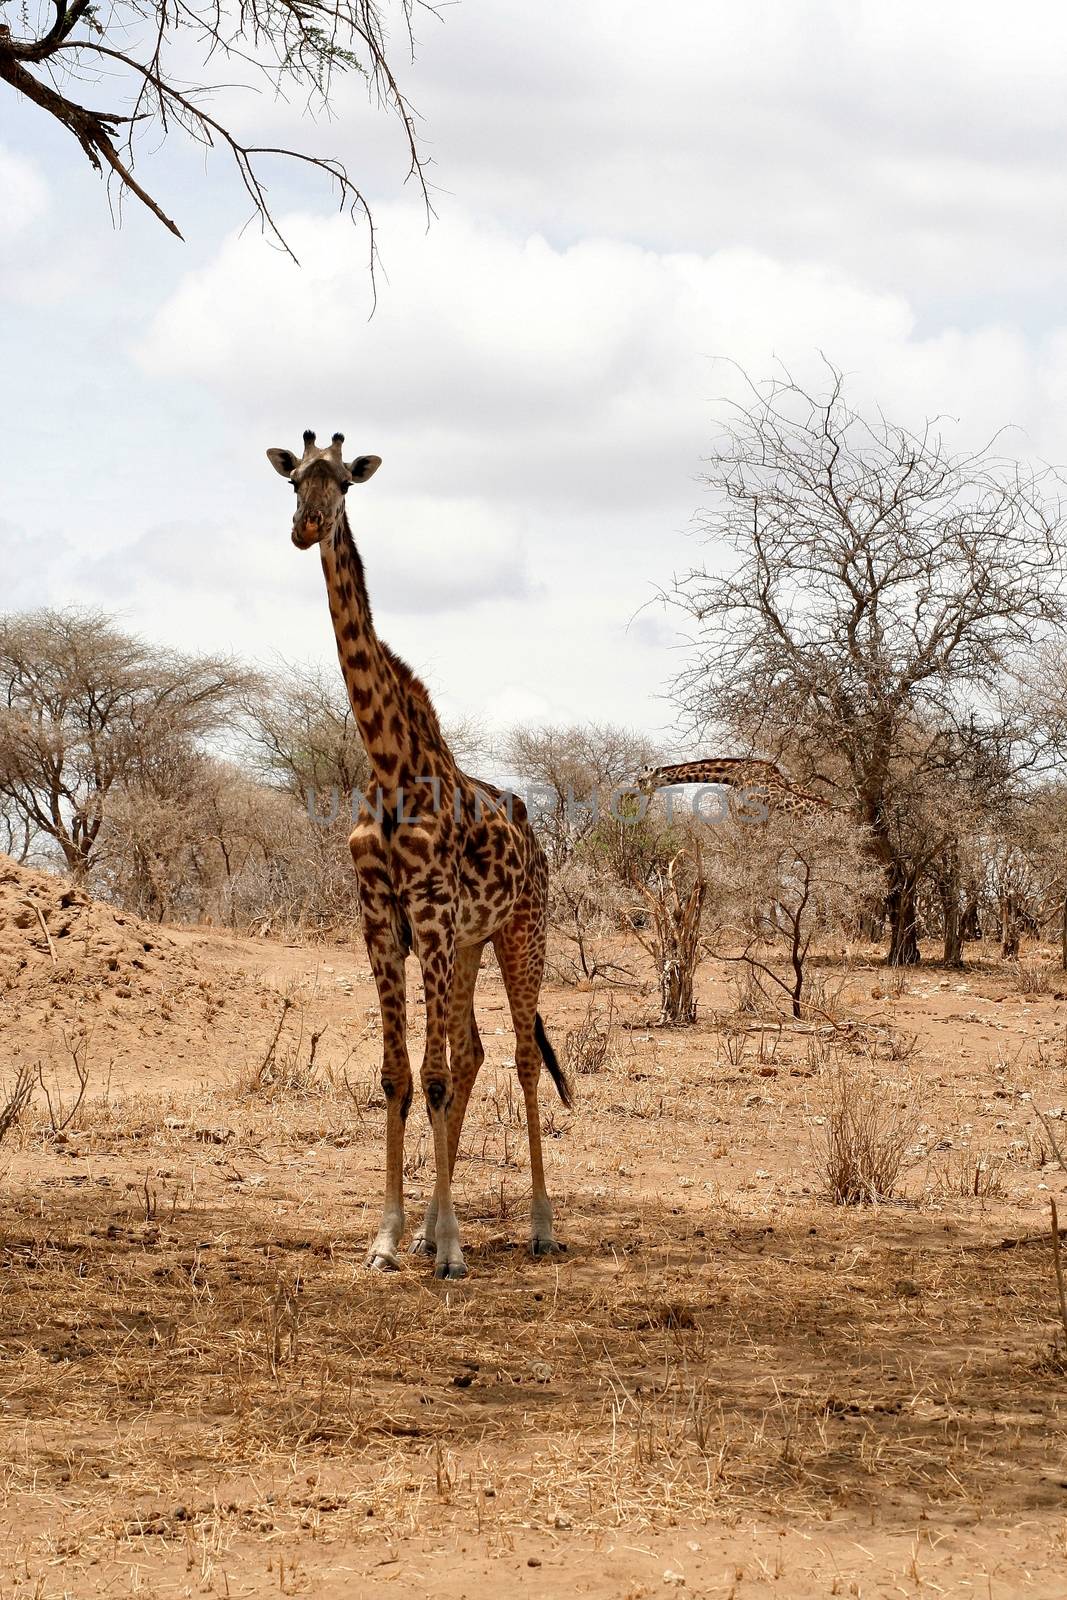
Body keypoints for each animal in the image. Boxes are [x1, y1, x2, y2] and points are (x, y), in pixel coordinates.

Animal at [267, 432, 572, 1280]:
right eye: (294, 481)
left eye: (344, 483)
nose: (305, 528)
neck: (389, 761)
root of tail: (538, 840)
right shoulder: (381, 921)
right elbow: (399, 1076)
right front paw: (390, 1238)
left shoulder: (431, 914)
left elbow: (430, 1077)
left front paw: (452, 1250)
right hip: (467, 945)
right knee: (470, 1054)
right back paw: (437, 1230)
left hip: (518, 931)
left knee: (518, 1059)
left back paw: (538, 1228)